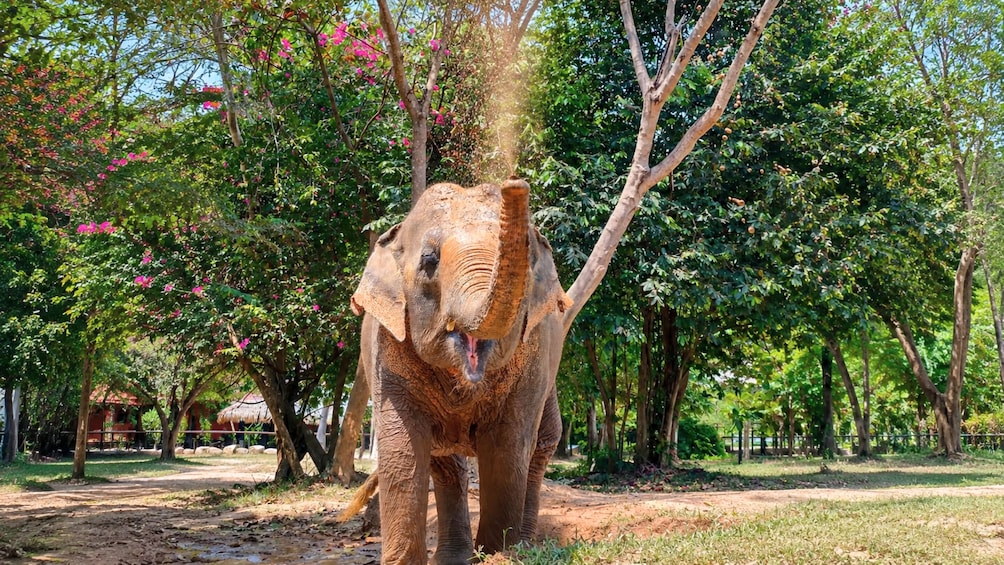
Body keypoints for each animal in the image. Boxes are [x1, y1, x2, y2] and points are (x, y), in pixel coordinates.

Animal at [345, 178, 571, 564]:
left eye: (528, 263)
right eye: (429, 260)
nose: (515, 183)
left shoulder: (535, 355)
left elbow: (507, 447)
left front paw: (498, 554)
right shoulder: (387, 347)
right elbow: (403, 454)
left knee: (540, 447)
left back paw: (524, 547)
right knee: (446, 465)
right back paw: (453, 557)